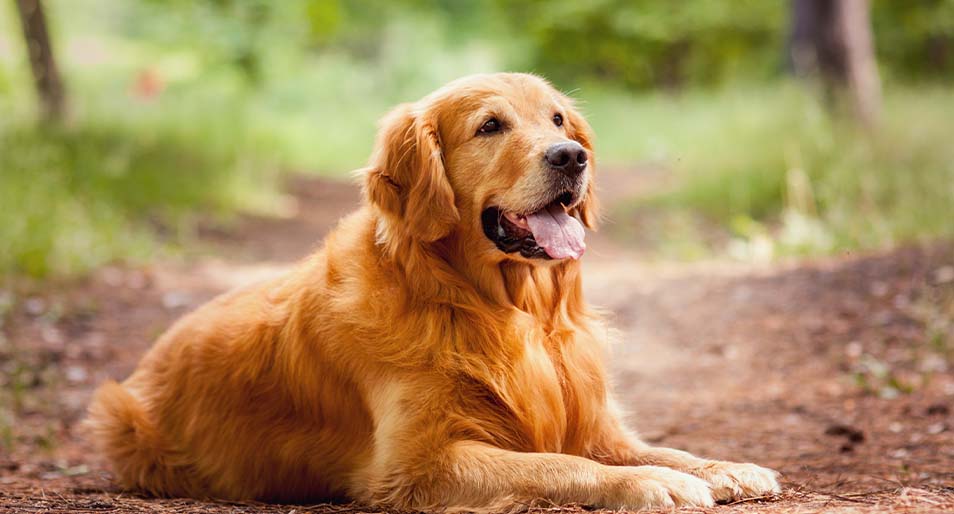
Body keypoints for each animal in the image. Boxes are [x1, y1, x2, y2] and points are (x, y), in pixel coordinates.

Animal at [85, 74, 776, 510]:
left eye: (557, 118)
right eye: (490, 126)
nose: (571, 156)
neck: (501, 309)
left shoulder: (595, 422)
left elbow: (659, 448)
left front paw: (724, 467)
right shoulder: (417, 463)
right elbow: (560, 464)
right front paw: (650, 485)